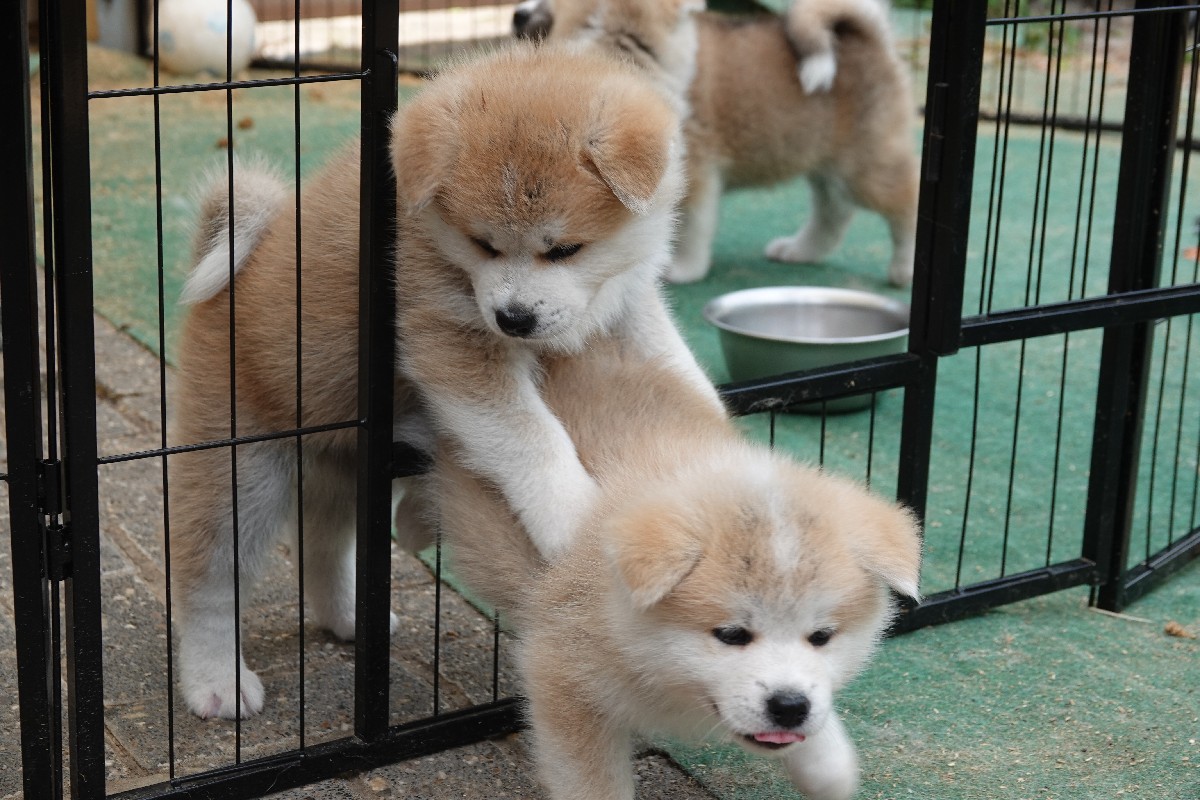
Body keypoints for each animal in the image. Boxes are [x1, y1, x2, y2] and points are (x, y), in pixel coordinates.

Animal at [169, 42, 718, 720]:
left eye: (564, 250)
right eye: (482, 244)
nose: (514, 318)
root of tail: (231, 278)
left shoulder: (627, 303)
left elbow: (676, 364)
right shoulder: (451, 341)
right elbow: (532, 439)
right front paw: (572, 519)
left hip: (348, 464)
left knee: (323, 547)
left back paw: (350, 618)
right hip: (239, 470)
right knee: (209, 584)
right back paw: (215, 680)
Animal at [432, 338, 923, 800]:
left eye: (821, 637)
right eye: (731, 635)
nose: (789, 706)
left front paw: (827, 765)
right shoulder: (562, 675)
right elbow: (594, 784)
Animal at [517, 0, 920, 287]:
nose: (518, 15)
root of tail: (873, 39)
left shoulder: (693, 174)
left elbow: (691, 227)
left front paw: (683, 269)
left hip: (866, 168)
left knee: (906, 202)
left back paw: (905, 268)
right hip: (824, 163)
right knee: (833, 212)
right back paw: (800, 250)